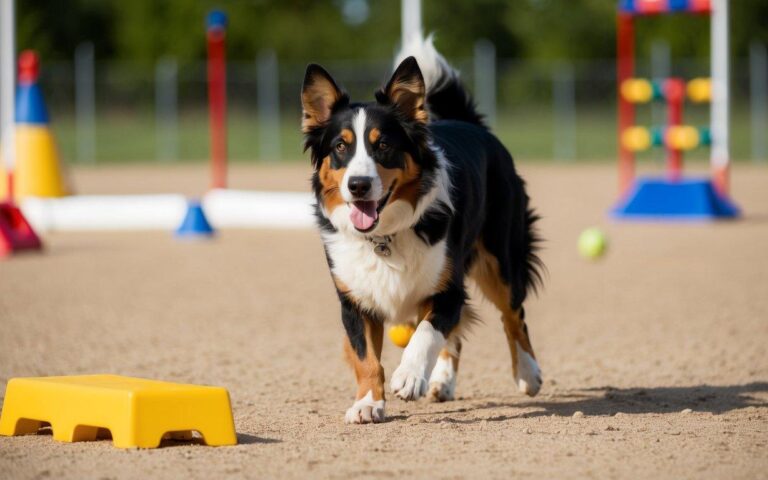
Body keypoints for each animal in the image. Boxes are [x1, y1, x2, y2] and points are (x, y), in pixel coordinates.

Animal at [300, 35, 544, 422]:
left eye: (383, 144)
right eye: (340, 146)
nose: (358, 185)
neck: (384, 235)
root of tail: (470, 124)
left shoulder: (448, 289)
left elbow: (427, 333)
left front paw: (409, 376)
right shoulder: (355, 301)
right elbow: (367, 358)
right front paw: (368, 403)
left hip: (501, 259)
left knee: (512, 314)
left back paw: (527, 373)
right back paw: (442, 381)